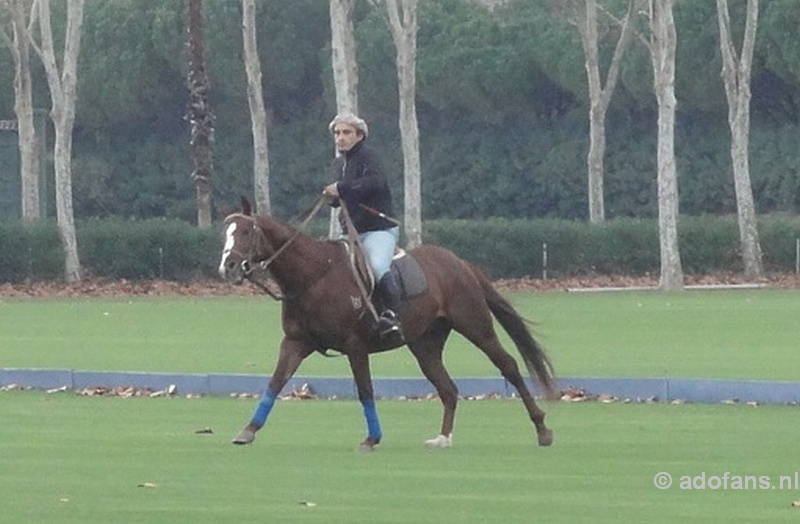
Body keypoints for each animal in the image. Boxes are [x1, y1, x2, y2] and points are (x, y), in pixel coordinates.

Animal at [219, 199, 556, 452]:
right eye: (227, 232)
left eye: (247, 231)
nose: (228, 267)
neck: (314, 276)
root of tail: (460, 263)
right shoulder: (295, 342)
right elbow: (275, 382)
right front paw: (248, 430)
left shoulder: (355, 345)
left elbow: (365, 390)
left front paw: (372, 438)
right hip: (425, 344)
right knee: (447, 387)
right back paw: (443, 438)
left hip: (475, 324)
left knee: (509, 365)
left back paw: (542, 429)